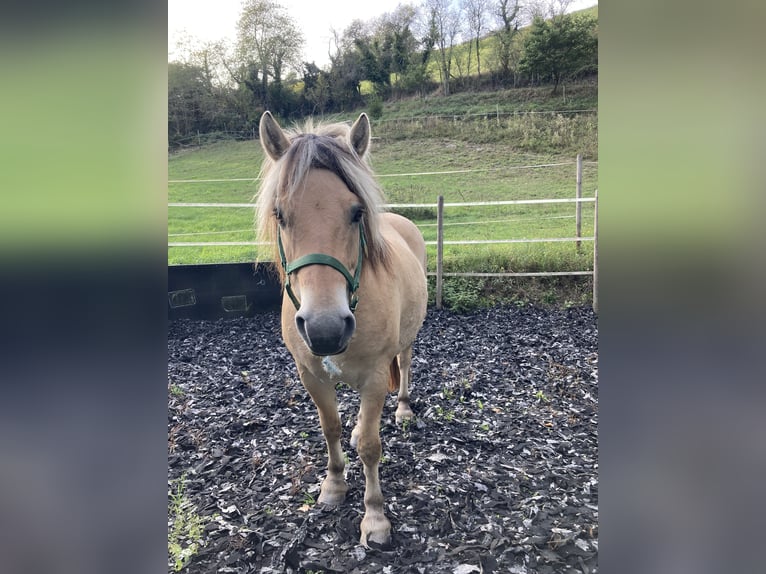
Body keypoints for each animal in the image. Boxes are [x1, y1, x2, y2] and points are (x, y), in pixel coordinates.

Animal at [255, 111, 428, 548]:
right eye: (280, 214)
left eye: (355, 212)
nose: (325, 328)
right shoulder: (311, 375)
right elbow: (330, 427)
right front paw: (333, 485)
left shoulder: (374, 377)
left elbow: (370, 445)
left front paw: (375, 518)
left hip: (407, 340)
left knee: (405, 365)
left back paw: (402, 408)